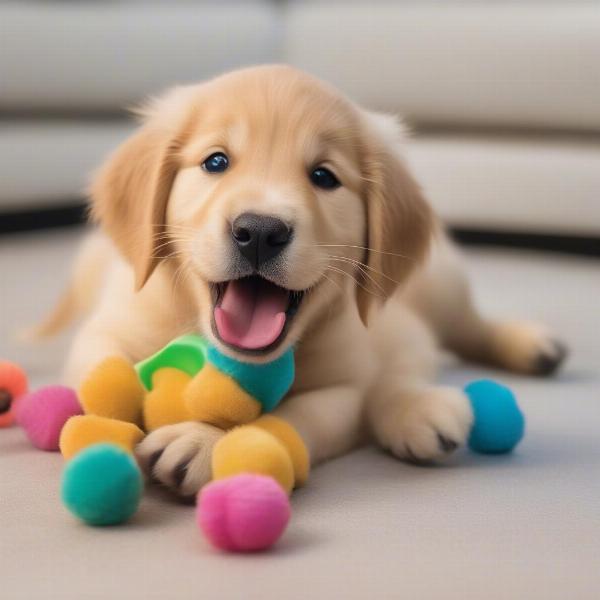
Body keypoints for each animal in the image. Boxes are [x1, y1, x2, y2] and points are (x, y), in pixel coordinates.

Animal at [48, 65, 568, 496]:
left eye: (324, 176)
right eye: (215, 162)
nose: (259, 232)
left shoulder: (341, 392)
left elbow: (293, 418)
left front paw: (203, 441)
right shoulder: (106, 331)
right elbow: (105, 380)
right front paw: (108, 434)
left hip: (441, 286)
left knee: (463, 331)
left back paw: (523, 353)